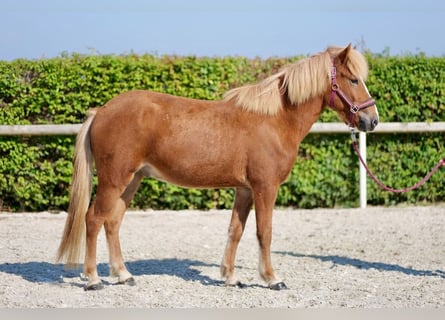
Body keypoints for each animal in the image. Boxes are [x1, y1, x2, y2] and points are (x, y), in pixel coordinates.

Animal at [56, 43, 378, 292]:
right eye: (353, 80)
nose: (372, 120)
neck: (274, 120)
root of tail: (101, 111)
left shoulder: (244, 189)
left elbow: (236, 230)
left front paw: (230, 278)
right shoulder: (265, 188)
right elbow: (264, 232)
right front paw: (272, 279)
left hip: (132, 180)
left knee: (112, 222)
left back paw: (124, 275)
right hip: (114, 180)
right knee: (93, 219)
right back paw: (93, 279)